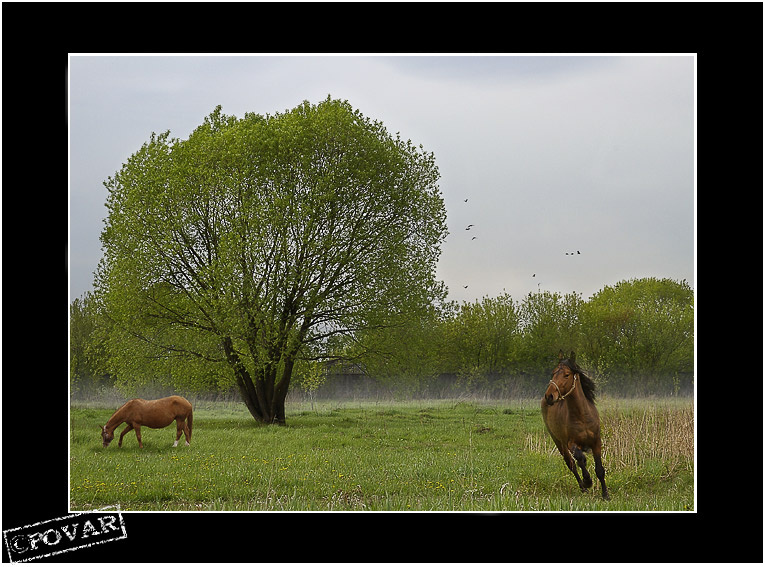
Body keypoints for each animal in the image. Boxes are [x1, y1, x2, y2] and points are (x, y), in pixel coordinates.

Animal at [541, 351, 609, 500]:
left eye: (567, 374)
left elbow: (599, 469)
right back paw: (583, 487)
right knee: (571, 464)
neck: (581, 416)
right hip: (558, 442)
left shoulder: (596, 442)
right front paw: (587, 481)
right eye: (553, 373)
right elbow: (579, 459)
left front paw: (605, 495)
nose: (549, 395)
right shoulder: (570, 443)